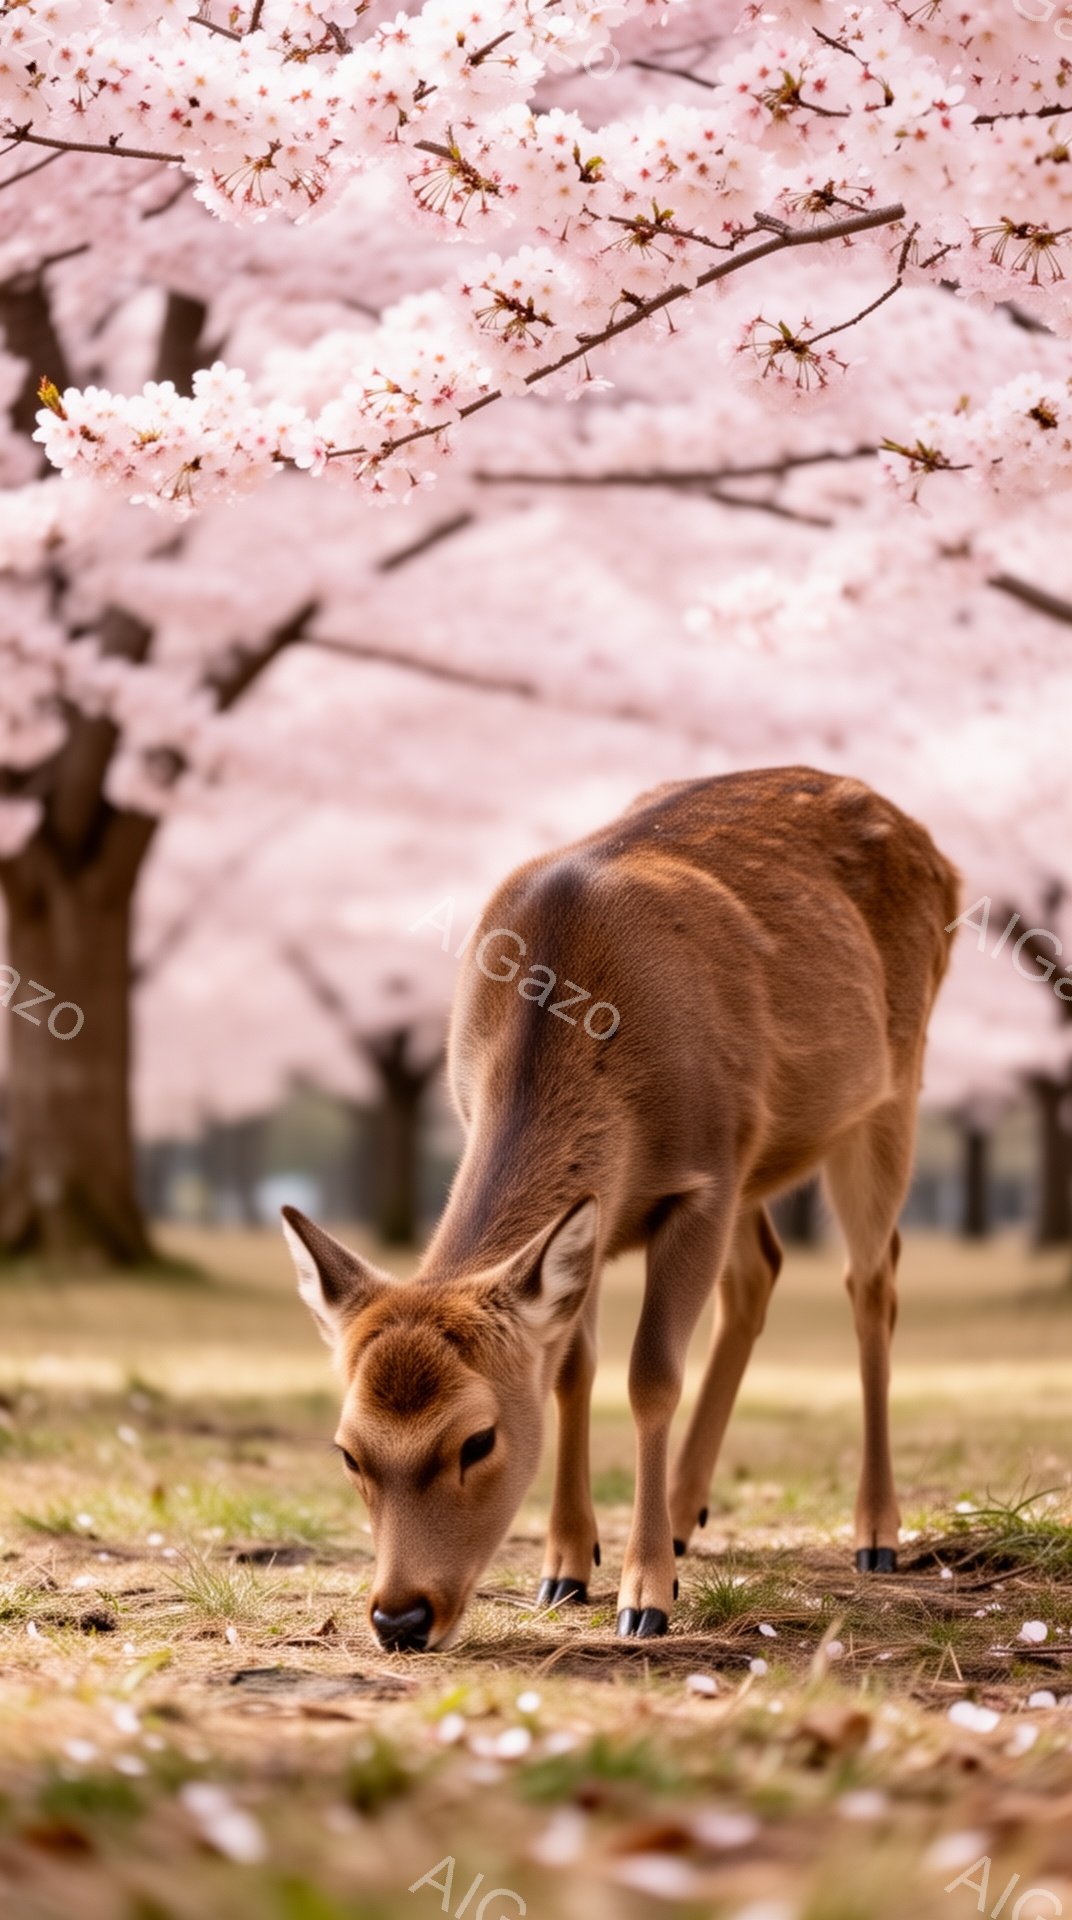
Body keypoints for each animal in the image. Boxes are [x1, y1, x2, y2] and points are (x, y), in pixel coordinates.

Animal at [283, 767, 958, 1651]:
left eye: (478, 1439)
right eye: (348, 1451)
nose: (399, 1616)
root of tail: (940, 856)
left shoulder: (701, 1178)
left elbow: (651, 1376)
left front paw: (645, 1598)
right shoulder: (609, 1214)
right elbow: (574, 1370)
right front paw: (566, 1570)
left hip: (886, 1096)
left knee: (872, 1284)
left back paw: (875, 1533)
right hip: (753, 1159)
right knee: (761, 1272)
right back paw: (681, 1510)